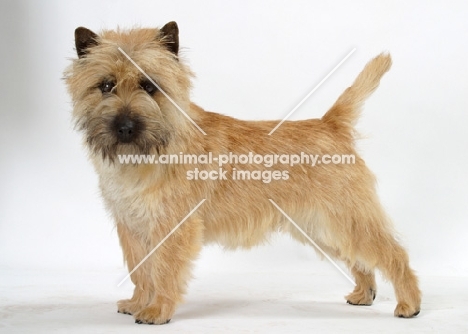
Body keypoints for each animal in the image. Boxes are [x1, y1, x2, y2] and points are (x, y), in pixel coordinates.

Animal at [65, 20, 420, 324]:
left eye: (149, 85)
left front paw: (157, 310)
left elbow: (163, 270)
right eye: (106, 85)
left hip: (346, 218)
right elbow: (141, 271)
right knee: (361, 258)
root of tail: (330, 124)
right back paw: (364, 294)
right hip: (322, 227)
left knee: (393, 252)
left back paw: (409, 304)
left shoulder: (172, 228)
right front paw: (139, 302)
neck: (146, 156)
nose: (125, 127)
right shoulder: (133, 228)